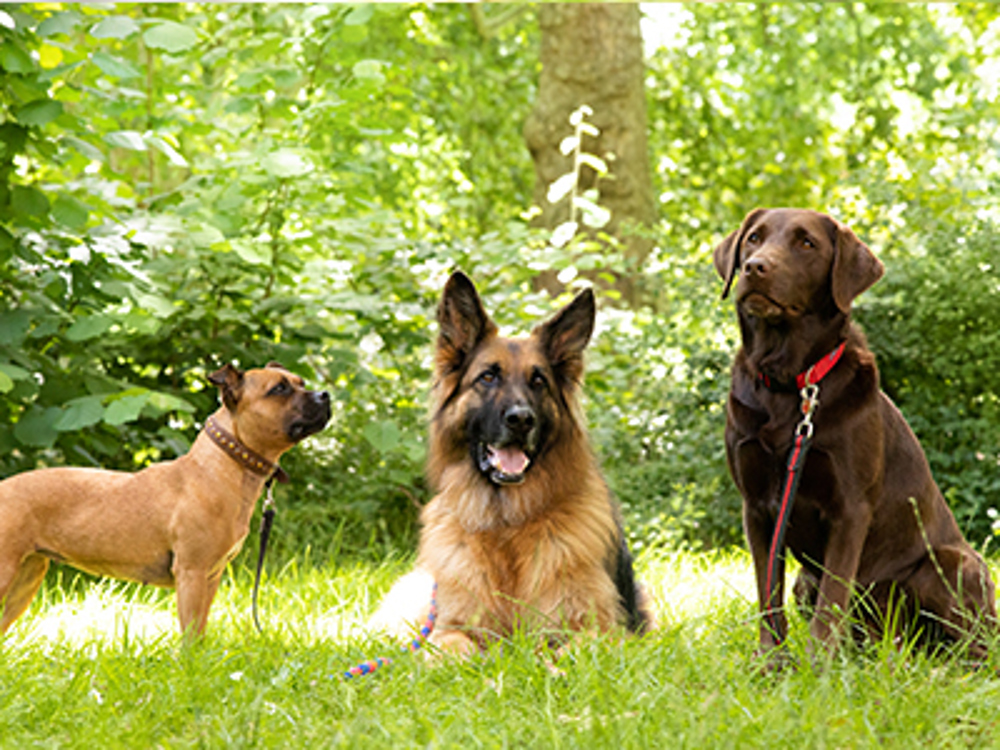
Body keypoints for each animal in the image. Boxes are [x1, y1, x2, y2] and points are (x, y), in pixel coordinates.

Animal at [0, 364, 330, 640]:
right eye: (279, 389)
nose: (325, 395)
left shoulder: (210, 577)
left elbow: (200, 629)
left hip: (25, 581)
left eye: (301, 383)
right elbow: (190, 634)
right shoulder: (192, 573)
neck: (220, 468)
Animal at [374, 272, 648, 656]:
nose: (521, 419)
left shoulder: (604, 631)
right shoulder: (449, 628)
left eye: (539, 381)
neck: (507, 524)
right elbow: (455, 647)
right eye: (488, 377)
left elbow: (571, 650)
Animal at [716, 209, 996, 660]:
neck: (790, 384)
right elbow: (767, 592)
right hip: (805, 582)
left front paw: (817, 664)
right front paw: (771, 661)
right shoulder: (756, 507)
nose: (754, 267)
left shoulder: (850, 508)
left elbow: (833, 595)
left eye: (806, 243)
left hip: (954, 565)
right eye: (754, 239)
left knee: (975, 645)